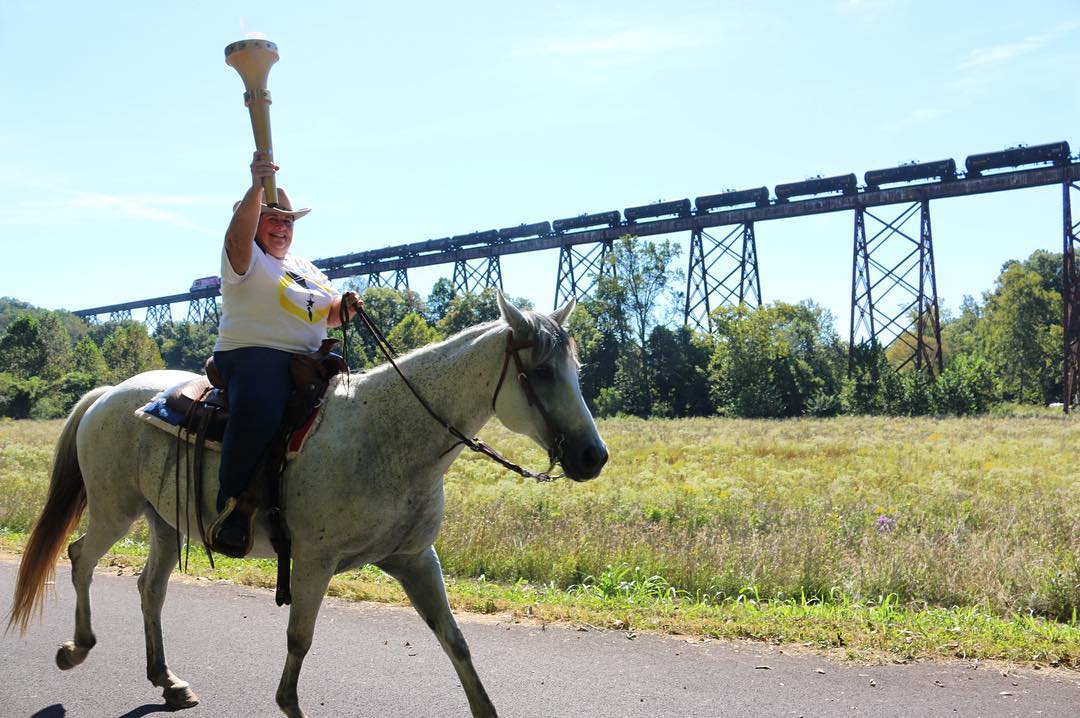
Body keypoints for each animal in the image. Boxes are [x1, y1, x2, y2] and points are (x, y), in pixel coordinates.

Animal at [8, 293, 609, 716]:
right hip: (116, 507)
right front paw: (287, 703)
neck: (386, 436)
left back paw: (167, 680)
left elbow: (455, 640)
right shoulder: (315, 562)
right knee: (81, 557)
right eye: (539, 372)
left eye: (576, 370)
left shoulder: (415, 559)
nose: (593, 455)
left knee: (149, 588)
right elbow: (299, 641)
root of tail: (106, 393)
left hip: (164, 521)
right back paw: (76, 648)